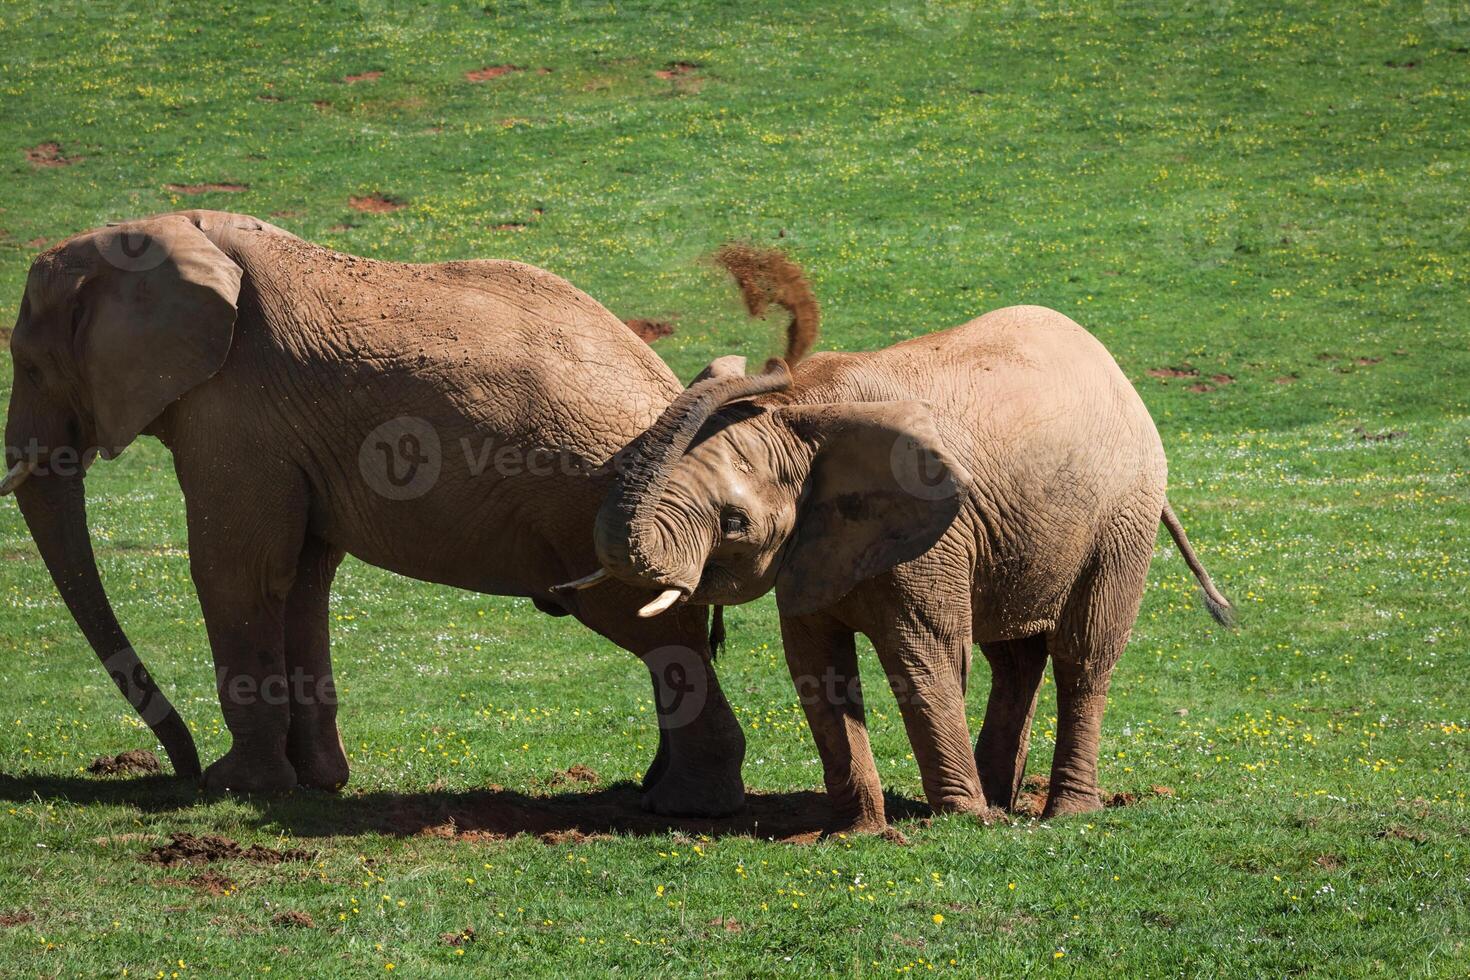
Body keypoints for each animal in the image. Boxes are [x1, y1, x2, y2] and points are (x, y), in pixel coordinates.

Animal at [2, 208, 746, 811]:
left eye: (30, 365)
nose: (178, 771)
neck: (168, 229)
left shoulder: (234, 412)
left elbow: (235, 571)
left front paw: (239, 785)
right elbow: (300, 576)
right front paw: (316, 783)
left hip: (596, 508)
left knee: (658, 635)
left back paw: (685, 807)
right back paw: (651, 791)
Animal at [558, 304, 1228, 828]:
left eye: (734, 522)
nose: (766, 365)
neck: (805, 408)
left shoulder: (933, 534)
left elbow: (923, 659)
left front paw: (960, 821)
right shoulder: (817, 540)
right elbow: (816, 669)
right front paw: (856, 832)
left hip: (1122, 520)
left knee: (1084, 656)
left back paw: (1061, 812)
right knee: (1015, 659)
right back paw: (1000, 800)